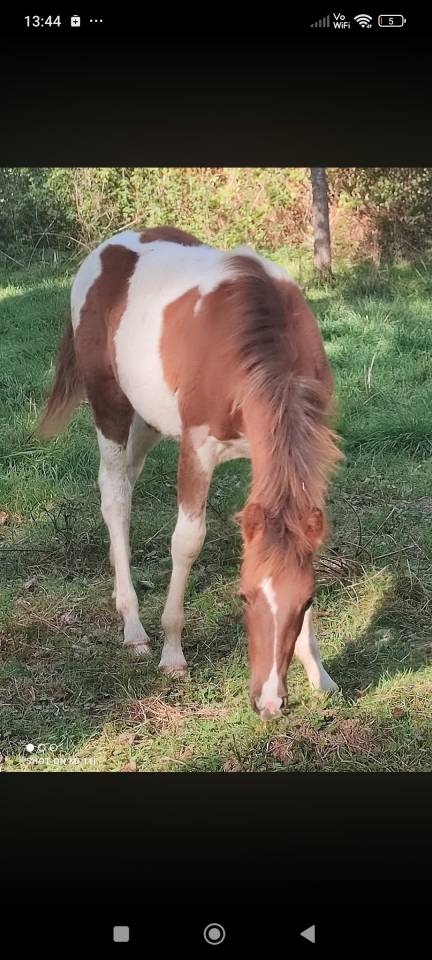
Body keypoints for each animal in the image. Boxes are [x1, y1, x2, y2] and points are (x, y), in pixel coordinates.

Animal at [38, 226, 342, 721]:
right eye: (244, 596)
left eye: (306, 602)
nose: (269, 702)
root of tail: (106, 249)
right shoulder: (197, 447)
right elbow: (187, 541)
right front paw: (173, 653)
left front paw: (319, 672)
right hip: (110, 405)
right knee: (115, 496)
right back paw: (133, 627)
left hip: (148, 421)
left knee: (127, 481)